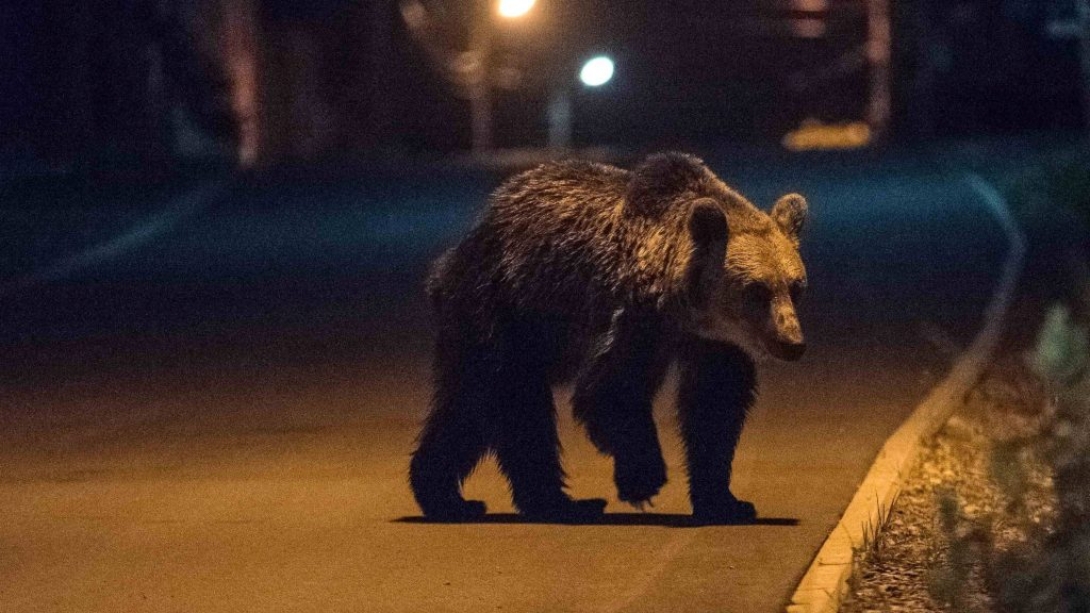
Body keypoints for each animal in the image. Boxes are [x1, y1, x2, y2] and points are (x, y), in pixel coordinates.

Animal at [409, 151, 810, 519]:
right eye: (756, 290)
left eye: (796, 286)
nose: (792, 343)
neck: (688, 307)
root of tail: (455, 253)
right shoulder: (637, 317)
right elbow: (611, 389)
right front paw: (644, 479)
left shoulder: (714, 341)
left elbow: (715, 403)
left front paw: (726, 501)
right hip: (502, 308)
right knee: (506, 399)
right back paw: (541, 501)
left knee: (476, 406)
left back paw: (459, 496)